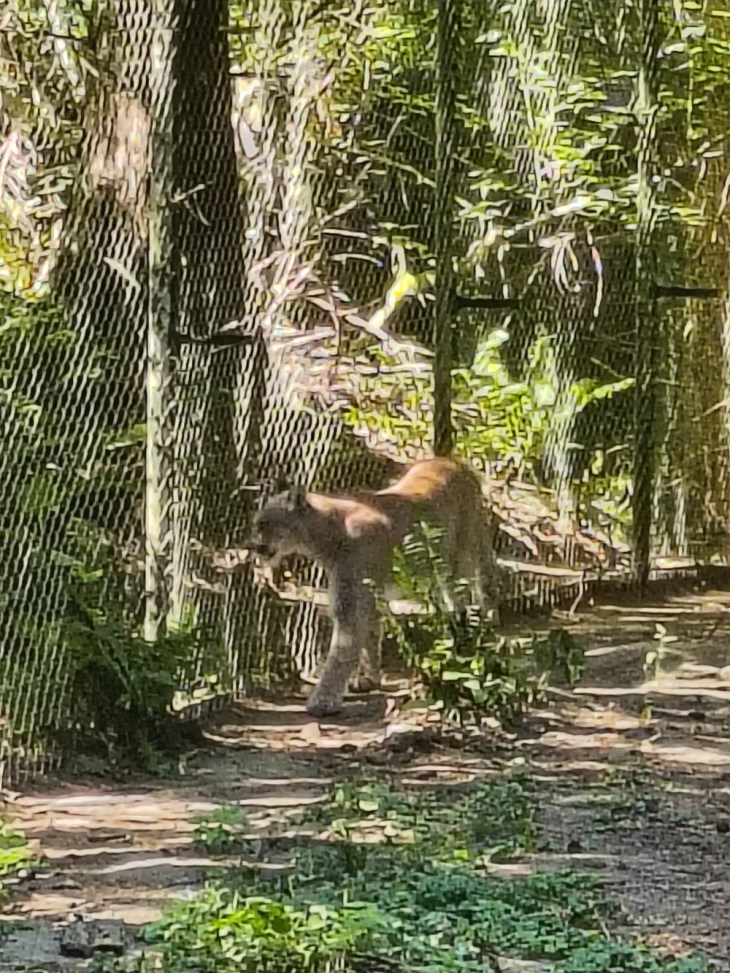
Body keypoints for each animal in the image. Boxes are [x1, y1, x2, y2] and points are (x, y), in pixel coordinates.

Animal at [247, 457, 498, 717]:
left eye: (265, 524)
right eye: (257, 524)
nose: (252, 545)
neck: (326, 536)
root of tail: (450, 460)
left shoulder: (352, 600)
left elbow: (342, 650)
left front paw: (323, 700)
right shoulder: (363, 594)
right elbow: (371, 633)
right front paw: (370, 678)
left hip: (463, 556)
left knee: (473, 594)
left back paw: (472, 636)